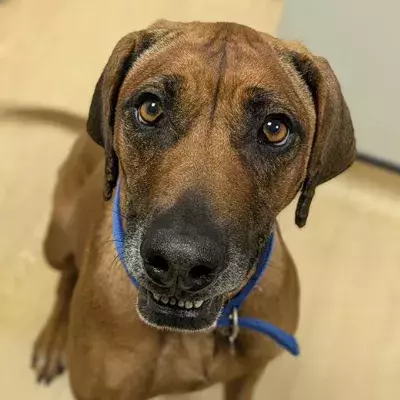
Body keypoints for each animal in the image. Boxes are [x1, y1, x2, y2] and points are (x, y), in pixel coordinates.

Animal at [32, 19, 356, 400]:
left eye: (275, 128)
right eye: (150, 108)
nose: (180, 263)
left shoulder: (248, 375)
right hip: (56, 240)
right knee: (65, 276)